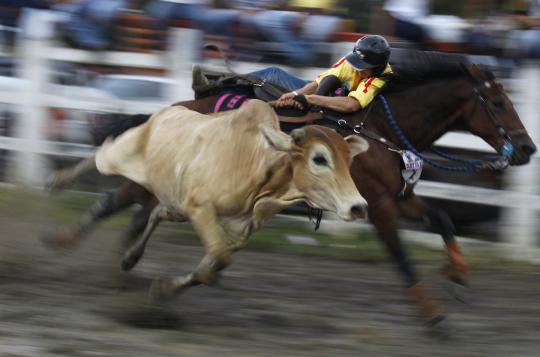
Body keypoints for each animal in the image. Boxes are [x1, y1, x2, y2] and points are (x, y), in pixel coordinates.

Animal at [52, 99, 370, 298]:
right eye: (320, 158)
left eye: (349, 160)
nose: (358, 207)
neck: (256, 166)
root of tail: (164, 112)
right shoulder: (200, 208)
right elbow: (217, 259)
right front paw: (166, 289)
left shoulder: (239, 230)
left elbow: (216, 263)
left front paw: (166, 288)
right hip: (129, 153)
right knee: (99, 157)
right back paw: (58, 187)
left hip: (173, 199)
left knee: (153, 214)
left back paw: (129, 258)